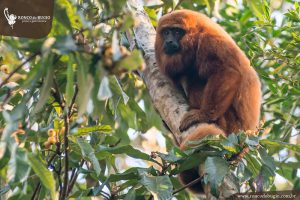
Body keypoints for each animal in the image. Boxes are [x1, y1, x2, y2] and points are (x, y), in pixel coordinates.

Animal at [155, 9, 260, 194]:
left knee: (197, 80)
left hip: (231, 128)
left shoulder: (209, 42)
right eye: (166, 32)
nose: (169, 41)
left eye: (177, 32)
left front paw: (204, 115)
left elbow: (228, 71)